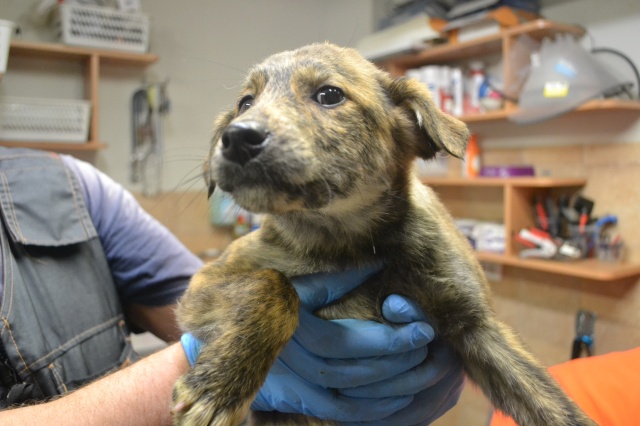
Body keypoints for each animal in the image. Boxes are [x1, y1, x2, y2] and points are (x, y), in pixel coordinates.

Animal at [171, 42, 596, 426]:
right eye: (245, 103)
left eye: (329, 95)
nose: (236, 137)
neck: (345, 241)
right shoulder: (204, 283)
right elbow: (273, 285)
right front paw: (218, 387)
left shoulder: (479, 327)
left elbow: (553, 404)